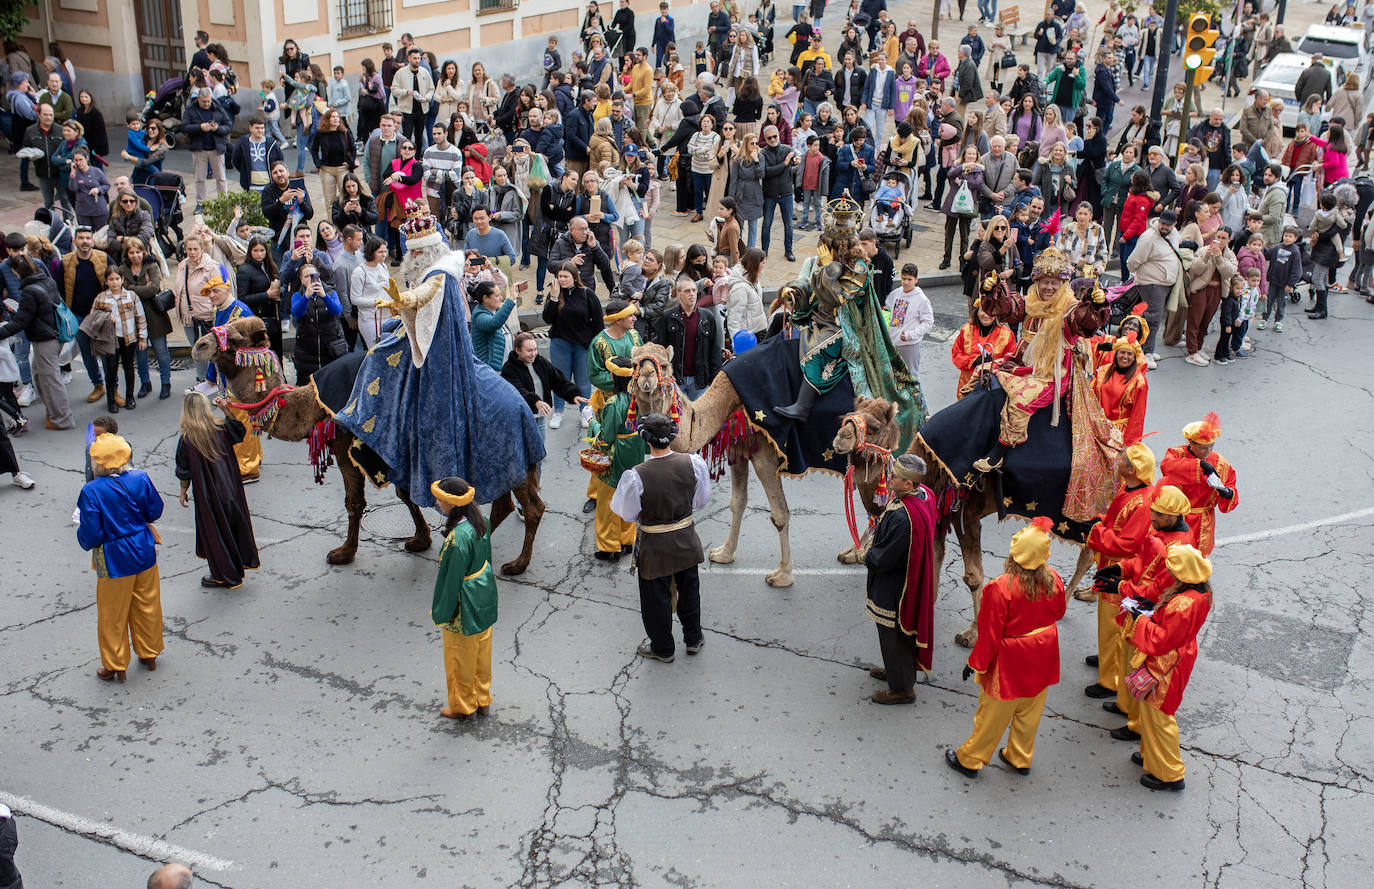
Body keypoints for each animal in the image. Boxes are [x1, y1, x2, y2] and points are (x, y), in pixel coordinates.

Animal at [196, 316, 544, 574]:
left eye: (235, 339)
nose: (200, 344)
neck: (314, 405)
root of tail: (525, 408)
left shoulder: (348, 449)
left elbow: (355, 502)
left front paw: (343, 553)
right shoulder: (391, 456)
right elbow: (404, 495)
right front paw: (420, 540)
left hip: (511, 453)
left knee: (532, 508)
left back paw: (517, 564)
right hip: (501, 463)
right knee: (504, 504)